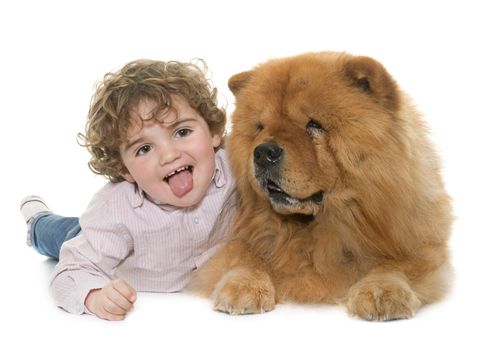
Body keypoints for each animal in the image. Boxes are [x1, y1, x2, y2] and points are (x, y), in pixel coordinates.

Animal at [190, 50, 454, 322]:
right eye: (260, 127)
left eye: (314, 125)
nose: (263, 153)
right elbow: (244, 255)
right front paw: (244, 285)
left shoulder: (423, 245)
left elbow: (399, 265)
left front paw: (382, 290)